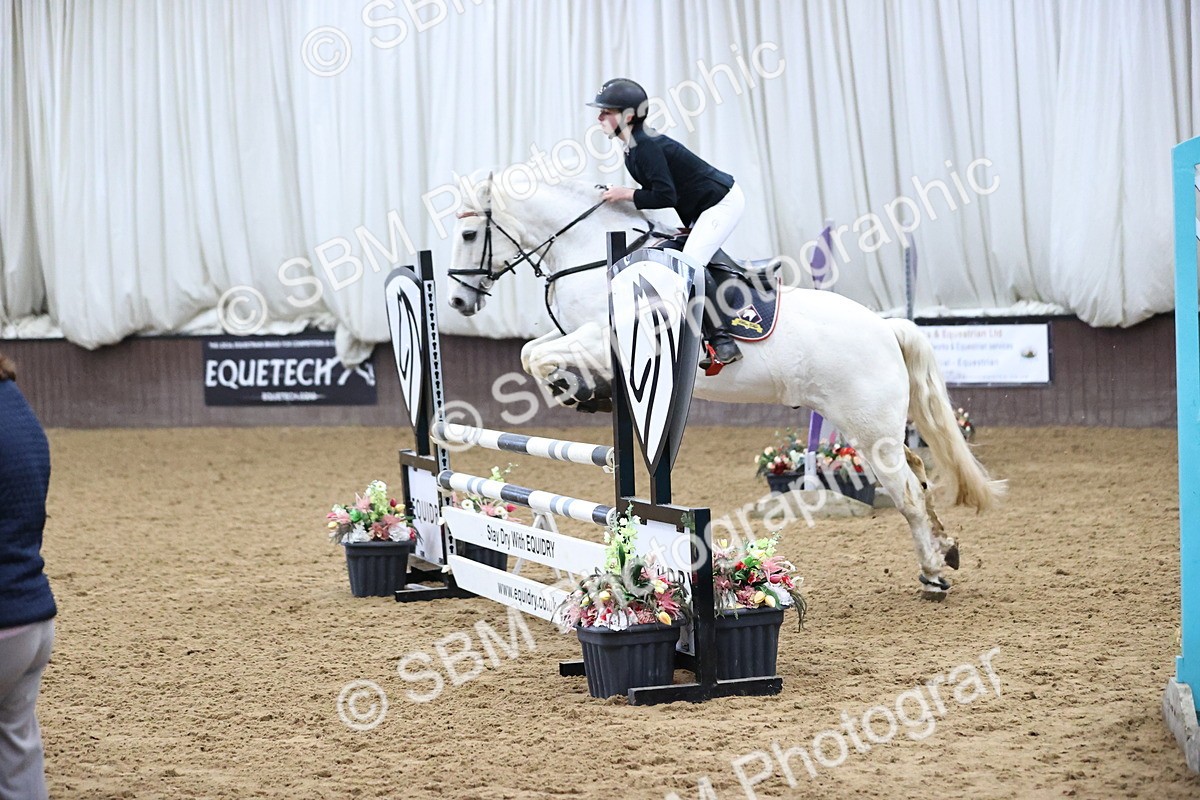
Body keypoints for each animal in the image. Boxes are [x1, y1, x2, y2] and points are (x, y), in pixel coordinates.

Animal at [444, 172, 1004, 597]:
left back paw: (933, 574)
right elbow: (531, 353)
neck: (589, 254)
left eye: (469, 237)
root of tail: (886, 326)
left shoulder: (602, 337)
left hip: (870, 429)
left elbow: (537, 356)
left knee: (906, 491)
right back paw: (946, 551)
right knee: (918, 474)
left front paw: (579, 391)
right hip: (871, 427)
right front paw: (586, 392)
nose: (455, 302)